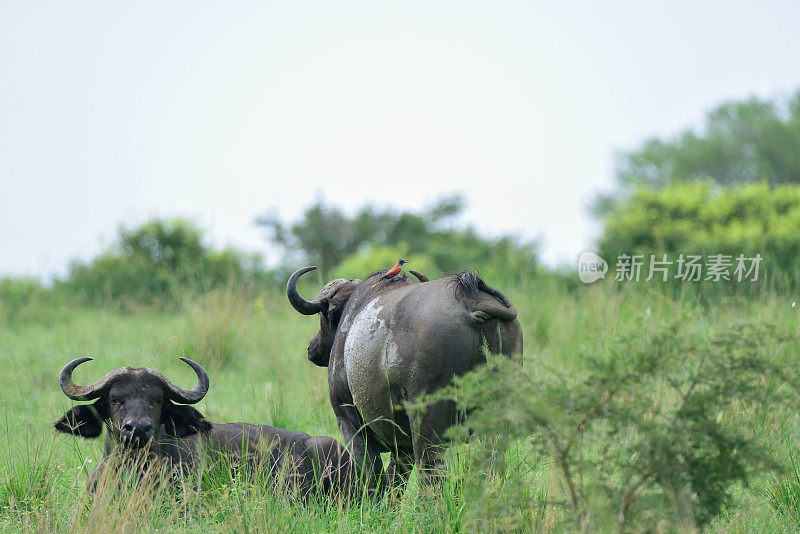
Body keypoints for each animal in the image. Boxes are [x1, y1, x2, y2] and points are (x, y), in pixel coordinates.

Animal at [284, 268, 520, 494]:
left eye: (325, 315)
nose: (312, 348)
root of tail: (470, 301)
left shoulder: (349, 421)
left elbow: (373, 476)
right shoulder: (401, 445)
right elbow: (395, 481)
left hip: (426, 422)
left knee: (431, 474)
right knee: (490, 463)